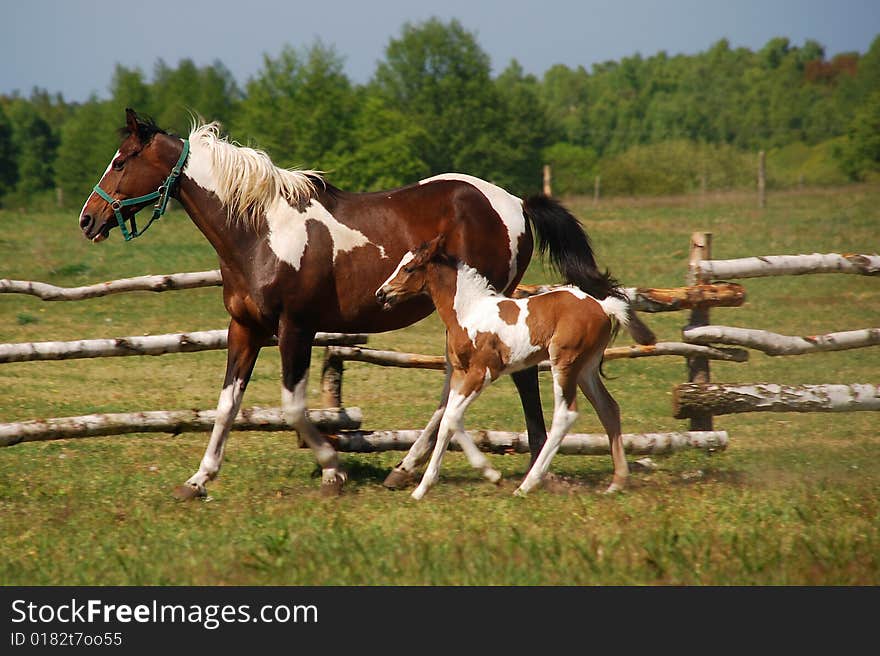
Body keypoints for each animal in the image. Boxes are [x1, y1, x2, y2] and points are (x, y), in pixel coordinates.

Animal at [374, 236, 628, 498]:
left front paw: (492, 475)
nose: (381, 294)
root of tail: (602, 307)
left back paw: (527, 485)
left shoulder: (483, 372)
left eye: (408, 268)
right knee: (608, 408)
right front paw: (422, 489)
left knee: (565, 414)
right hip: (586, 369)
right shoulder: (459, 375)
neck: (468, 311)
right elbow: (447, 421)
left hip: (565, 363)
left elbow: (452, 417)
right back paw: (616, 484)